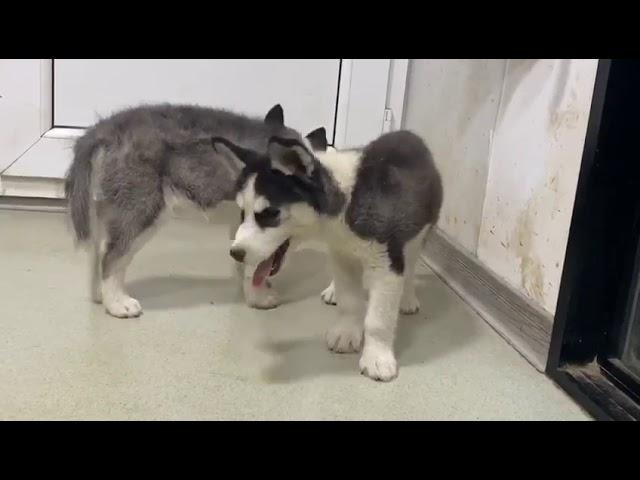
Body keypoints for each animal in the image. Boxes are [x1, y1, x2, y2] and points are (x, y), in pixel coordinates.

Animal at [65, 103, 328, 316]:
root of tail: (106, 128)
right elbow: (254, 262)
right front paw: (258, 297)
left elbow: (243, 258)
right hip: (142, 208)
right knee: (112, 256)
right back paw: (117, 304)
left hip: (104, 207)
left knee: (97, 251)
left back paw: (100, 295)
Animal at [212, 129, 442, 380]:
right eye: (242, 213)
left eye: (271, 213)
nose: (235, 253)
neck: (344, 205)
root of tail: (407, 133)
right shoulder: (341, 255)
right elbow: (349, 301)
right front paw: (347, 333)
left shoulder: (386, 264)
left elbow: (378, 320)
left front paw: (377, 358)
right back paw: (333, 291)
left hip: (419, 234)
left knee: (410, 264)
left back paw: (408, 297)